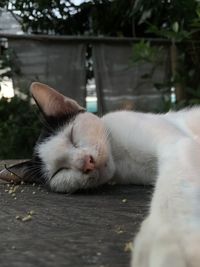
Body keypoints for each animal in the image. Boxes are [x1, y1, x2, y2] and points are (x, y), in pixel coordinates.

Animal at [0, 82, 200, 266]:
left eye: (72, 136)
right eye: (59, 171)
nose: (86, 162)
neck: (120, 159)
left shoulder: (176, 144)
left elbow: (172, 196)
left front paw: (170, 240)